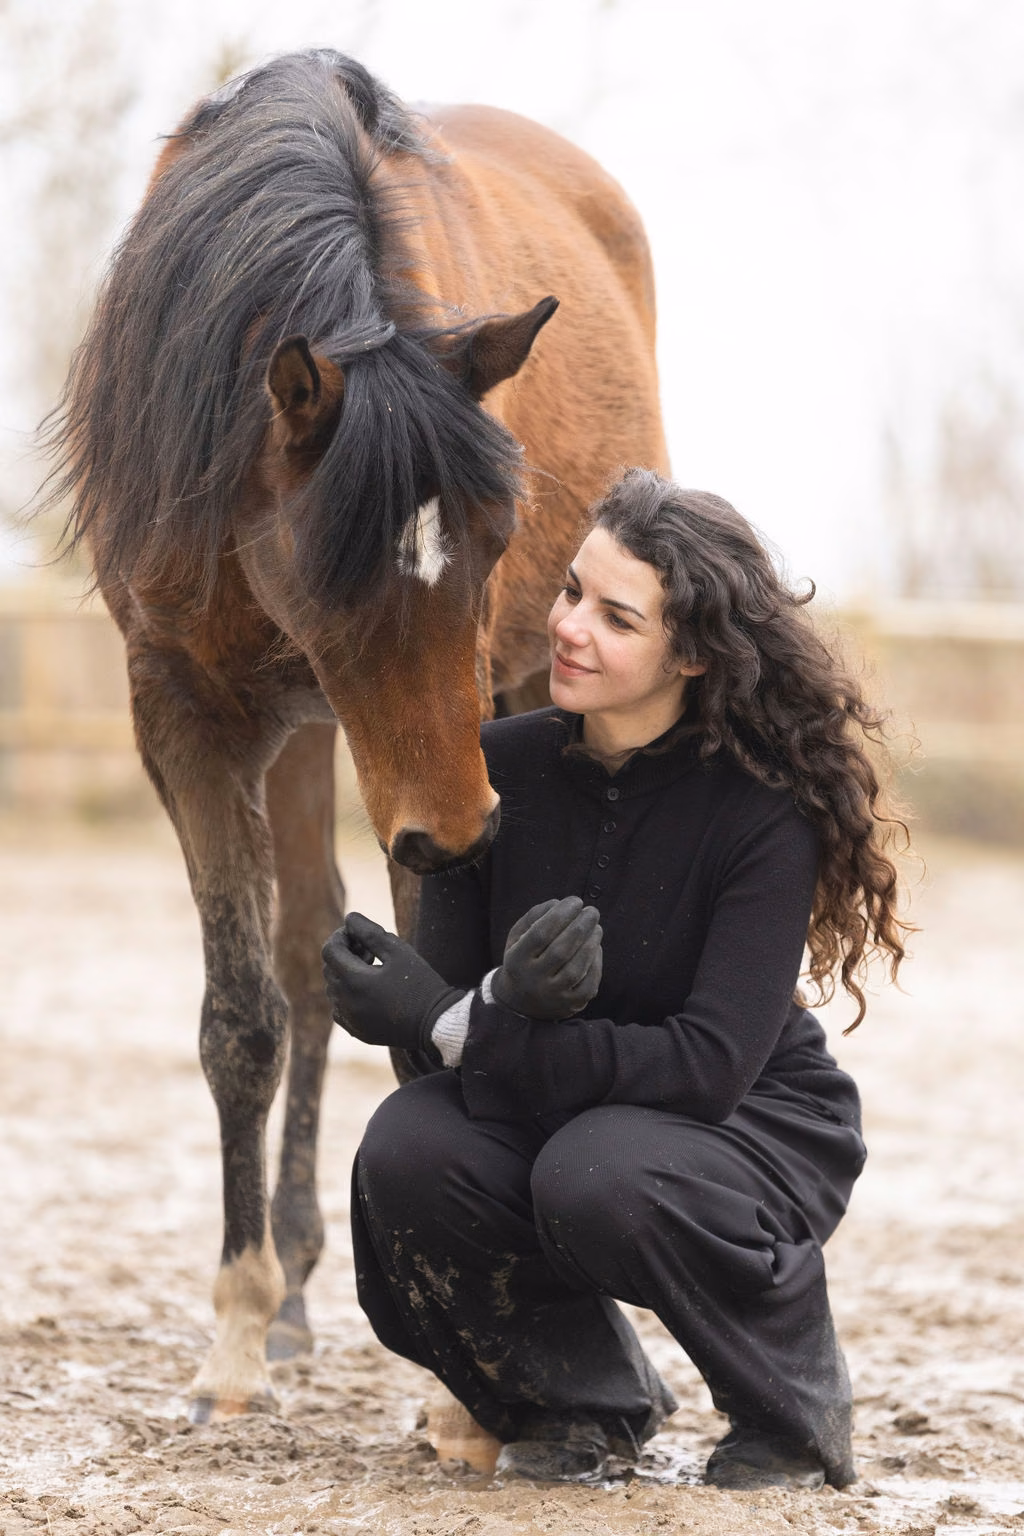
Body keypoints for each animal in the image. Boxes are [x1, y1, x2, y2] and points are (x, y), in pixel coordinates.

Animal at [45, 50, 668, 1425]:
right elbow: (245, 1016)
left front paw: (474, 1383)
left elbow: (438, 999)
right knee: (302, 949)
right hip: (308, 739)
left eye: (497, 539)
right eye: (340, 567)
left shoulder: (467, 729)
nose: (461, 828)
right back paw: (288, 1300)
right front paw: (236, 1330)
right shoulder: (189, 718)